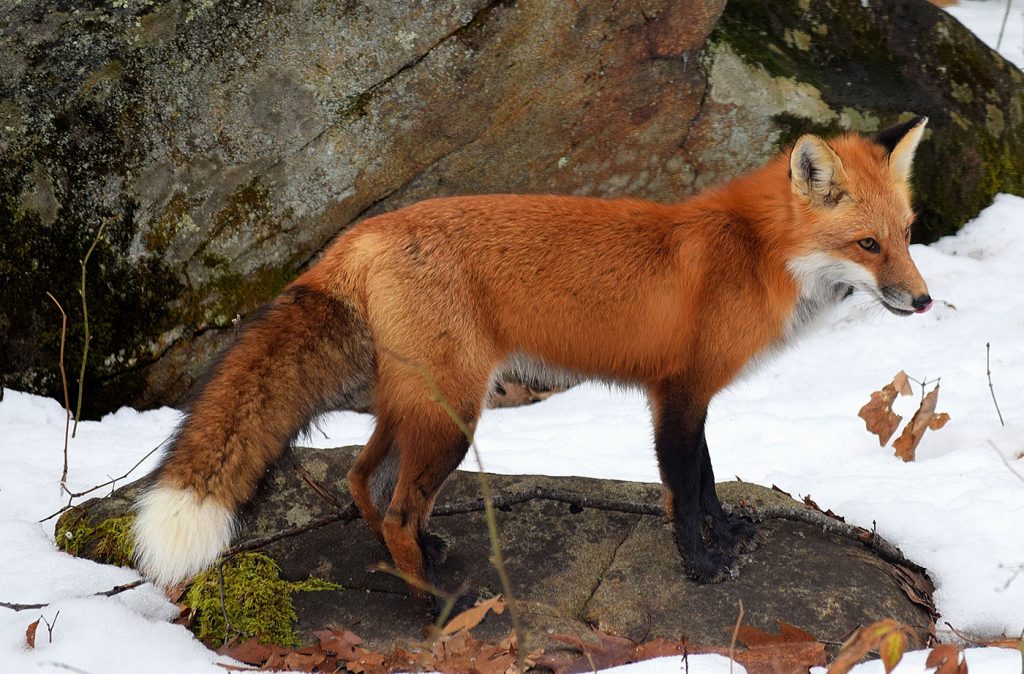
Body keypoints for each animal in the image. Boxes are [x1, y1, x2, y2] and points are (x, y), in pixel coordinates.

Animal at [132, 117, 932, 604]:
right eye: (867, 245)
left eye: (907, 234)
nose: (925, 301)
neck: (756, 255)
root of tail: (359, 234)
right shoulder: (675, 395)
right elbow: (684, 490)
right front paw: (702, 566)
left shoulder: (692, 396)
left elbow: (706, 480)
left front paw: (728, 536)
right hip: (455, 414)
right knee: (396, 507)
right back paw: (435, 606)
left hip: (418, 402)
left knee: (367, 483)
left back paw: (419, 558)